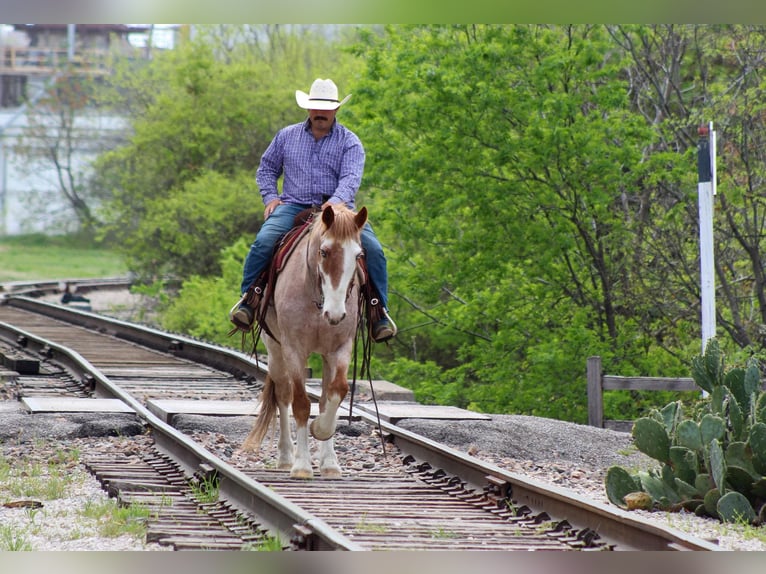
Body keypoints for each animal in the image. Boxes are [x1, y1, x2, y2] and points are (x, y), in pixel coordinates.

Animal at [241, 204, 368, 478]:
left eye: (358, 255)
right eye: (324, 251)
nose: (335, 313)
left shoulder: (340, 348)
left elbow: (335, 394)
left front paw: (324, 443)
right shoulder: (294, 348)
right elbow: (300, 403)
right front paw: (301, 466)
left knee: (322, 397)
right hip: (275, 350)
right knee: (283, 395)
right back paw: (286, 457)